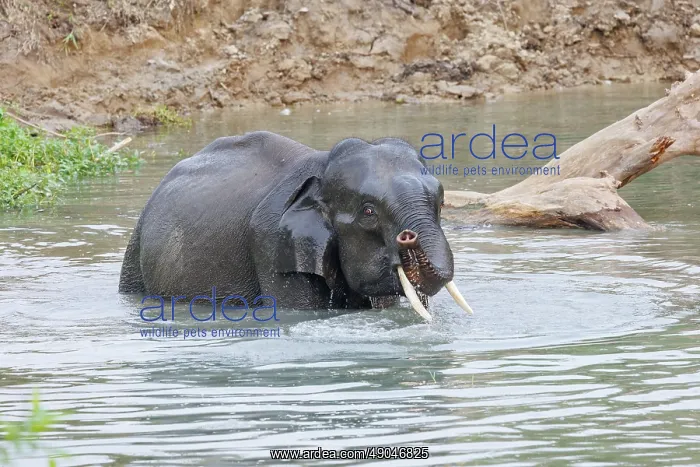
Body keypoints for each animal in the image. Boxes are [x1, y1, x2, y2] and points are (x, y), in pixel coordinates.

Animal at [118, 131, 472, 321]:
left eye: (440, 202)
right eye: (369, 211)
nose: (407, 237)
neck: (323, 166)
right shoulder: (271, 244)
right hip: (135, 253)